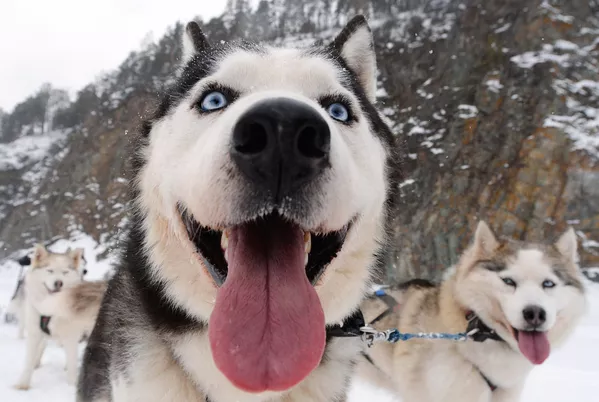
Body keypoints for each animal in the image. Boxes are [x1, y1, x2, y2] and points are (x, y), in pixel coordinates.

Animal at [13, 244, 103, 390]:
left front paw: (72, 385)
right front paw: (23, 384)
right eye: (50, 271)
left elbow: (72, 363)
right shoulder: (34, 333)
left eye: (65, 272)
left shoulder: (70, 337)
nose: (58, 283)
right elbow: (29, 361)